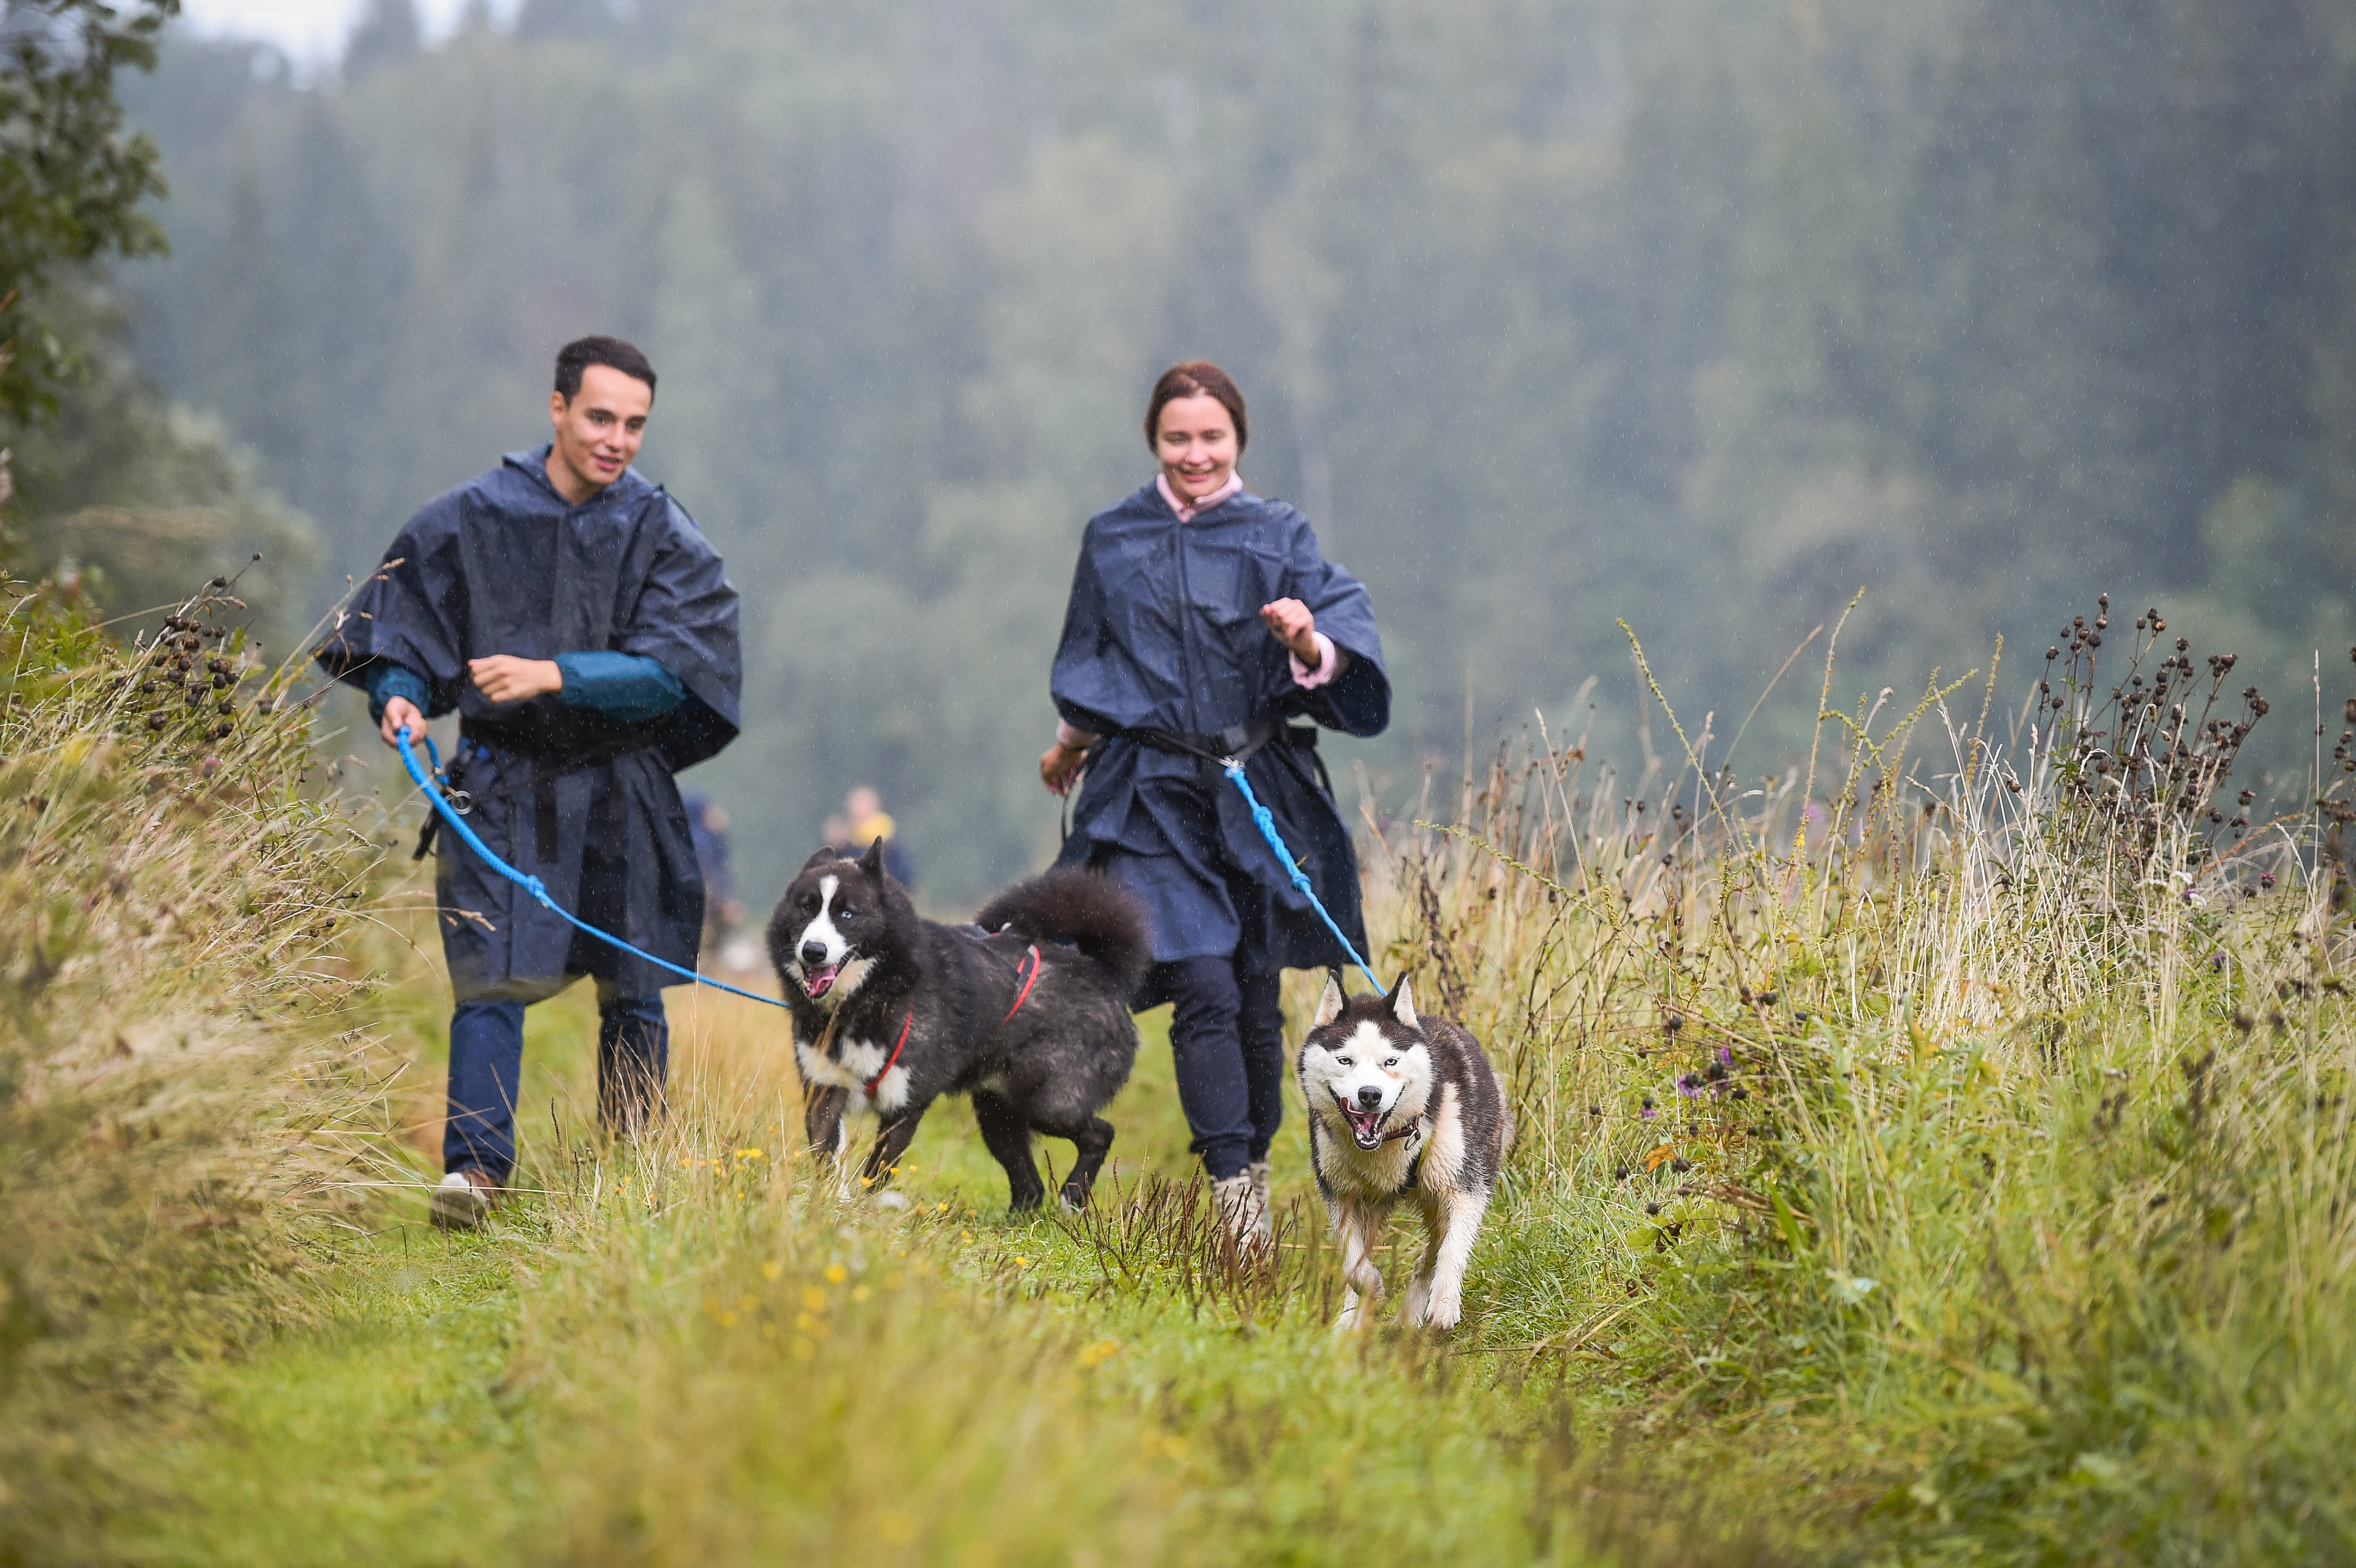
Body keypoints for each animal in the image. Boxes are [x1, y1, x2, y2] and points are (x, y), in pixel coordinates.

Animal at [768, 843, 1145, 1205]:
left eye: (847, 914)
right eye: (805, 909)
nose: (813, 951)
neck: (863, 998)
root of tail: (1103, 974)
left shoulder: (905, 1106)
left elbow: (876, 1174)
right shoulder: (824, 1089)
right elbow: (827, 1162)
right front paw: (830, 1208)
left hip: (1050, 1105)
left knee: (1101, 1134)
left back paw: (1073, 1195)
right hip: (998, 1115)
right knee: (1030, 1185)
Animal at [1300, 970, 1517, 1328]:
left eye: (1391, 1061)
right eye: (1345, 1060)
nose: (1369, 1094)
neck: (1389, 1140)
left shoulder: (1465, 1188)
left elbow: (1452, 1250)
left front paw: (1444, 1305)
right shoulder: (1340, 1194)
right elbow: (1352, 1263)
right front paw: (1370, 1288)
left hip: (1440, 1191)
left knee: (1433, 1251)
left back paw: (1411, 1313)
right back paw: (1352, 1320)